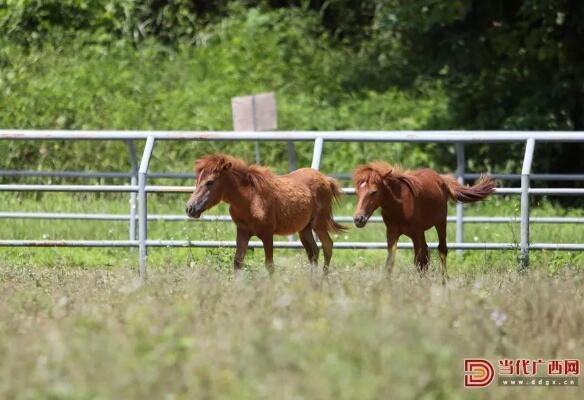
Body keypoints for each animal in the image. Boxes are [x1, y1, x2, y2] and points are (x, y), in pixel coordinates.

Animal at [185, 153, 344, 272]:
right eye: (197, 181)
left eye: (210, 182)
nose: (189, 208)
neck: (249, 200)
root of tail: (326, 179)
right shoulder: (243, 232)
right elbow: (238, 262)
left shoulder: (267, 234)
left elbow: (269, 265)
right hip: (304, 228)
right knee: (314, 252)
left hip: (319, 224)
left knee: (327, 246)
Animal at [354, 162, 496, 282]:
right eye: (357, 192)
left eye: (374, 192)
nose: (358, 219)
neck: (400, 205)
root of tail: (441, 179)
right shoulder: (392, 233)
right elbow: (390, 262)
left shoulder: (415, 232)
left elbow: (419, 261)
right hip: (421, 232)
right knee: (426, 254)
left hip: (440, 223)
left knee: (441, 250)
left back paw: (444, 280)